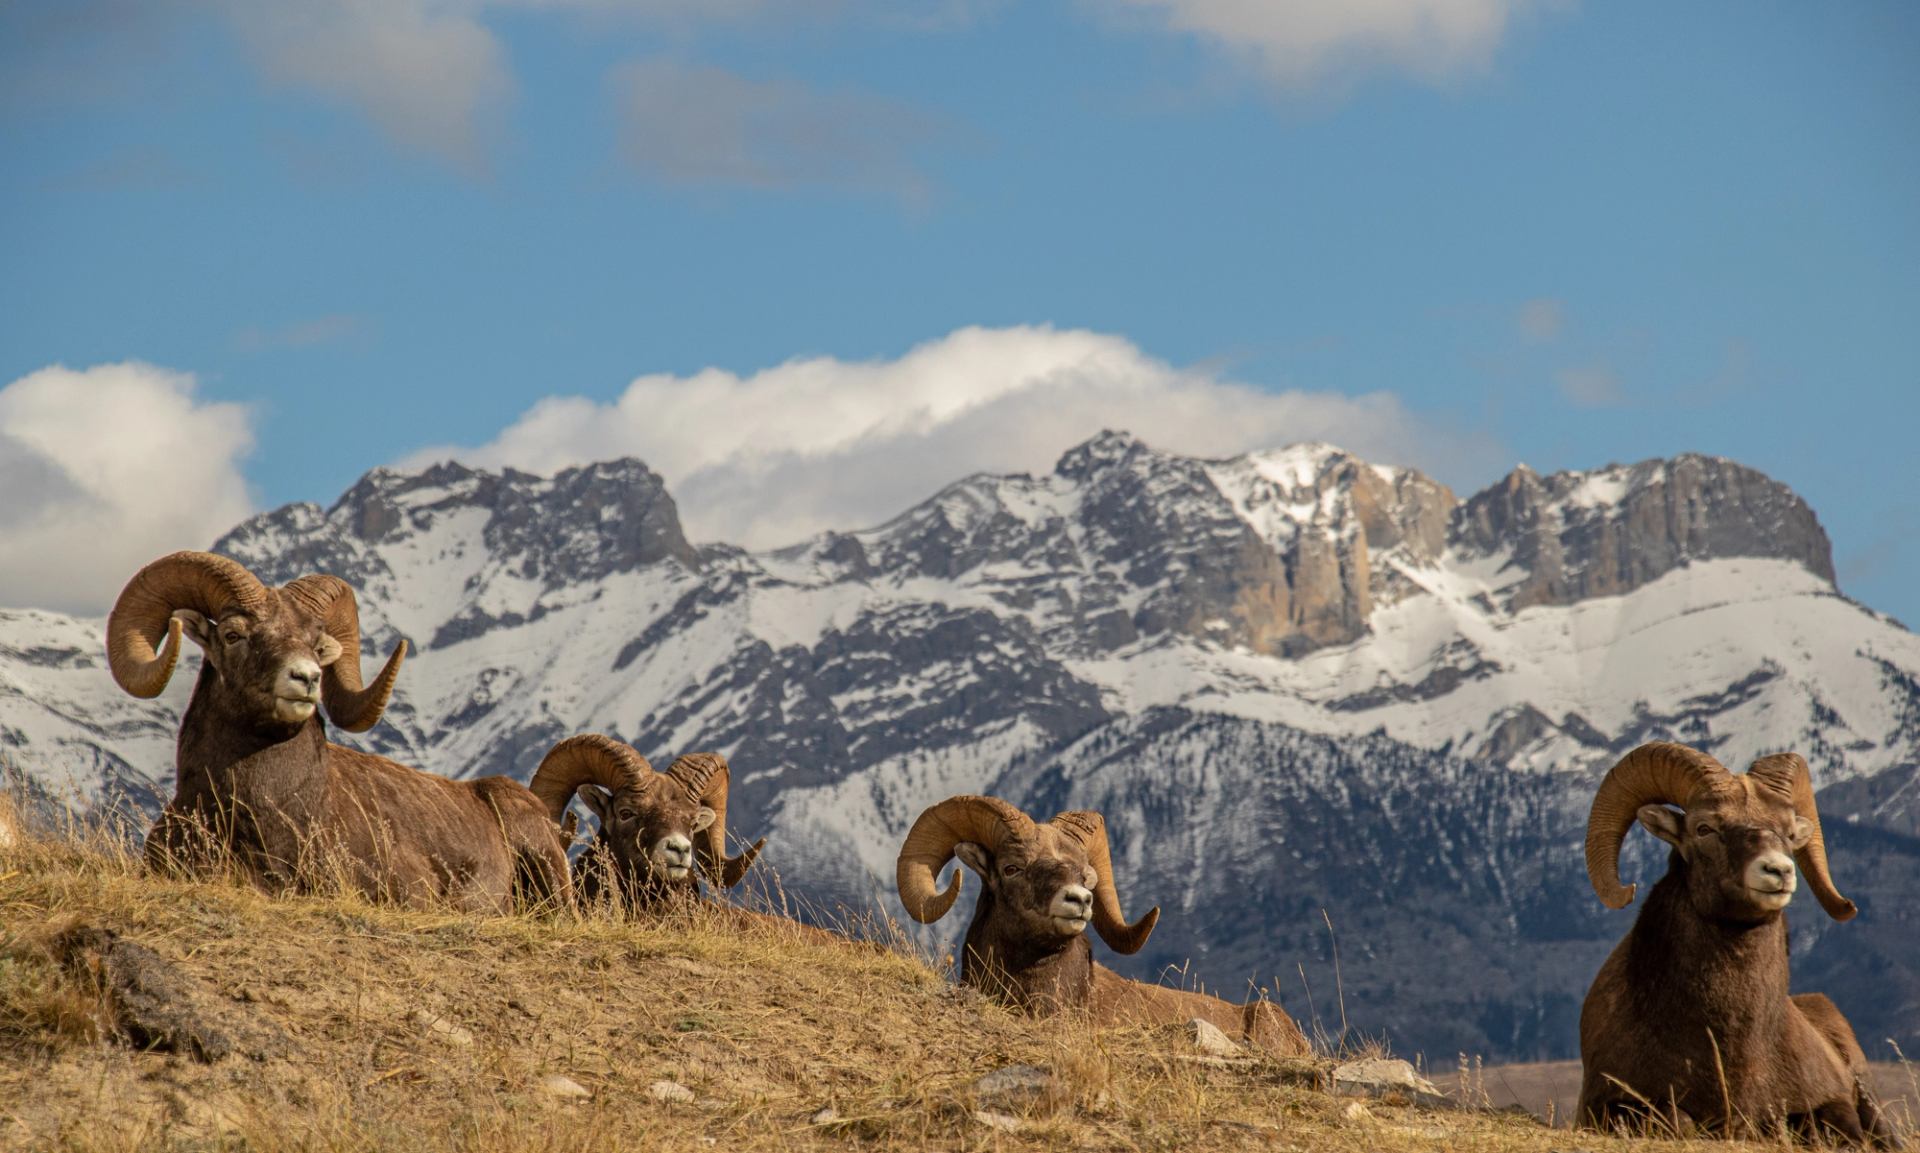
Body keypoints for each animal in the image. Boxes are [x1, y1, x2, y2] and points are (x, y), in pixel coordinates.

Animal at [1578, 741, 1895, 1144]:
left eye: (1789, 832)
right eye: (1704, 828)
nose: (1778, 871)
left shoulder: (1826, 1103)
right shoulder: (1607, 1105)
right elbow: (1680, 1120)